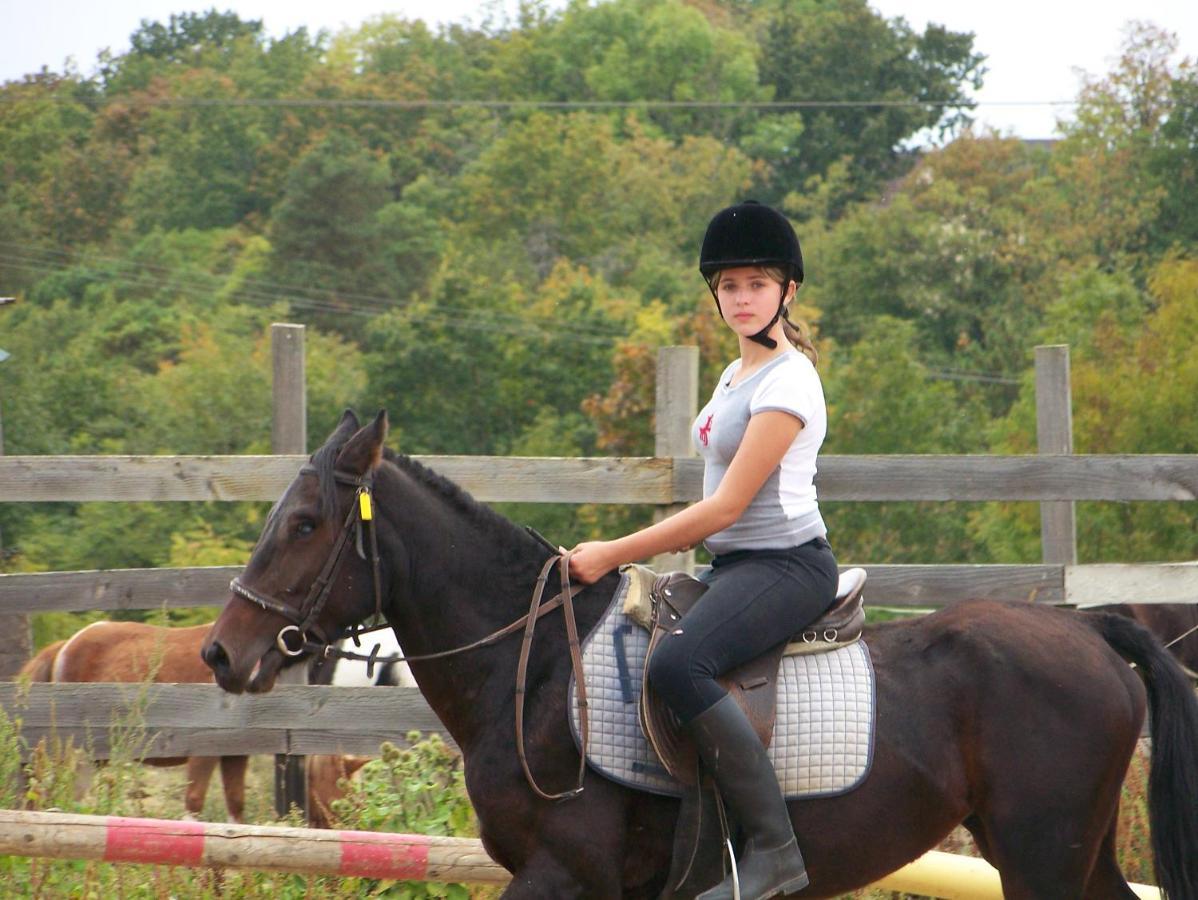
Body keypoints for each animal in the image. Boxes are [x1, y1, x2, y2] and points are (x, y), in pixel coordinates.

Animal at [201, 412, 1198, 896]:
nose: (220, 654)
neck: (536, 668)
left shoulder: (564, 875)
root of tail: (1086, 627)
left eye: (304, 524)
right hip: (1057, 849)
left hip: (1040, 853)